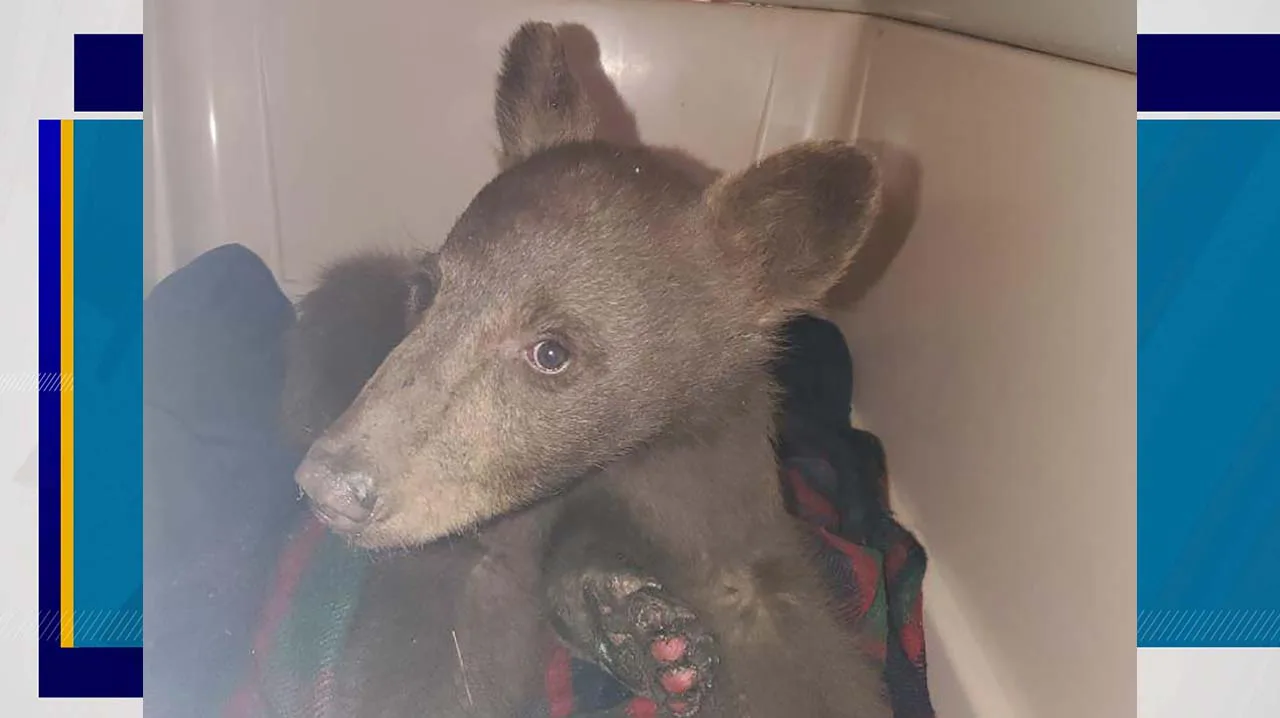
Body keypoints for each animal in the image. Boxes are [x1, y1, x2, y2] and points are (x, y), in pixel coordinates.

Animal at [288, 21, 889, 718]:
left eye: (551, 351)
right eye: (426, 286)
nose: (334, 485)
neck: (607, 466)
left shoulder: (716, 496)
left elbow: (790, 651)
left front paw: (640, 631)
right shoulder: (475, 552)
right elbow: (430, 652)